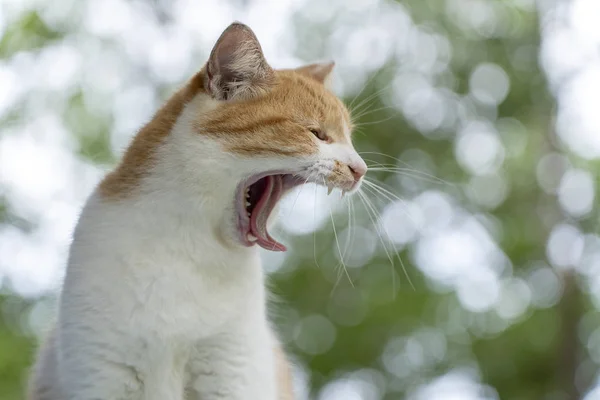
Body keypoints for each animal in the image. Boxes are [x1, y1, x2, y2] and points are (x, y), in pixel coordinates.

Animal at [28, 21, 368, 400]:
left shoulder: (232, 375)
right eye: (316, 133)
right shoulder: (100, 373)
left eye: (349, 139)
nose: (360, 169)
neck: (191, 244)